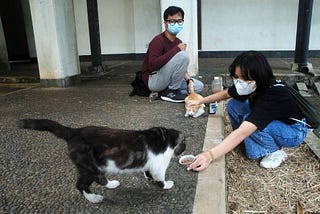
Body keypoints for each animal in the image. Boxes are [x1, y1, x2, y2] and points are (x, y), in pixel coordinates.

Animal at [17, 119, 186, 203]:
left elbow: (148, 173)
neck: (165, 137)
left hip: (90, 167)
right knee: (81, 185)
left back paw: (111, 184)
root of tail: (74, 132)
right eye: (184, 144)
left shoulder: (150, 165)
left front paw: (149, 180)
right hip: (90, 166)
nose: (184, 149)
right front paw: (165, 185)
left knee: (98, 180)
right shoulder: (159, 166)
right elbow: (160, 178)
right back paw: (94, 198)